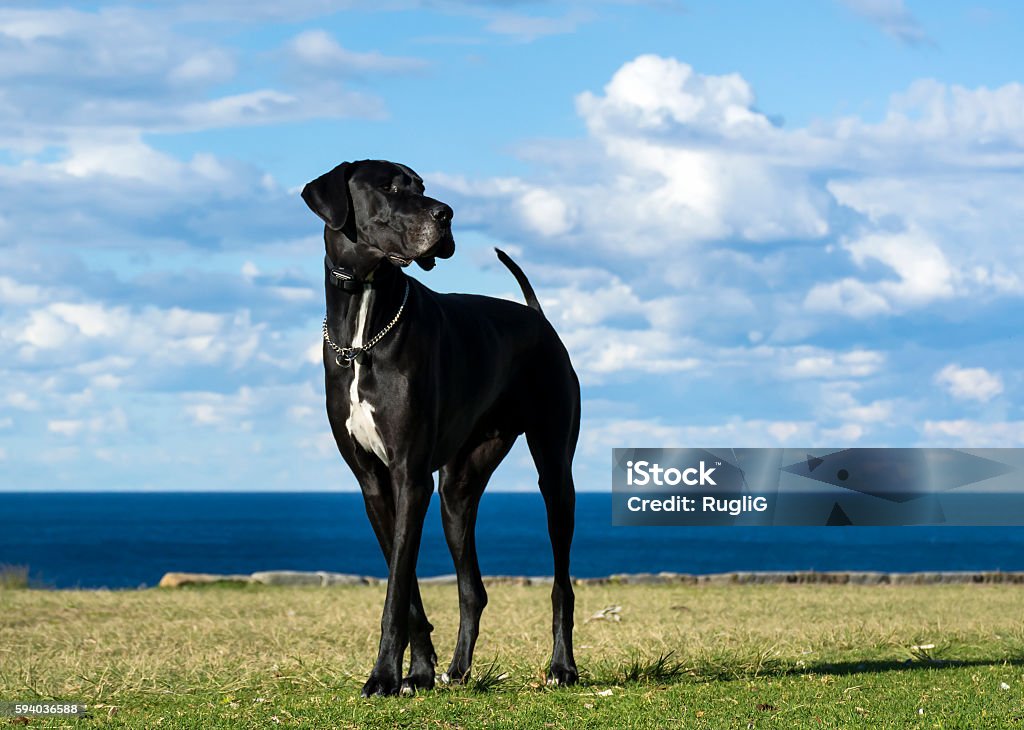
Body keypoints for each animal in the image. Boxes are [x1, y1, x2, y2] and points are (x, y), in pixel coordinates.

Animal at [299, 157, 581, 696]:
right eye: (391, 188)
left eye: (422, 186)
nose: (446, 213)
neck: (364, 321)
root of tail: (537, 318)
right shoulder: (376, 482)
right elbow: (404, 585)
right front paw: (419, 673)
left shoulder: (410, 476)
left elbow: (396, 588)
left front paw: (384, 676)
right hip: (457, 489)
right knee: (472, 589)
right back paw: (458, 670)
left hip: (555, 473)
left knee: (562, 584)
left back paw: (562, 667)